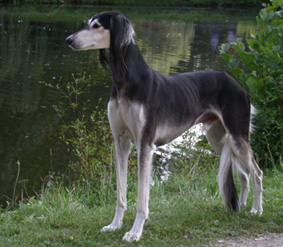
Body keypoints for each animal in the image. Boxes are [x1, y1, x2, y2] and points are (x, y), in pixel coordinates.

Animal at [66, 11, 264, 241]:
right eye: (88, 23)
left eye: (97, 26)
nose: (69, 40)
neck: (125, 80)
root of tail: (238, 83)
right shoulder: (120, 142)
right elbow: (120, 193)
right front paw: (115, 225)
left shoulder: (145, 144)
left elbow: (142, 197)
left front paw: (135, 232)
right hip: (219, 139)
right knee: (244, 175)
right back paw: (240, 206)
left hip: (237, 136)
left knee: (257, 173)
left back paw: (256, 209)